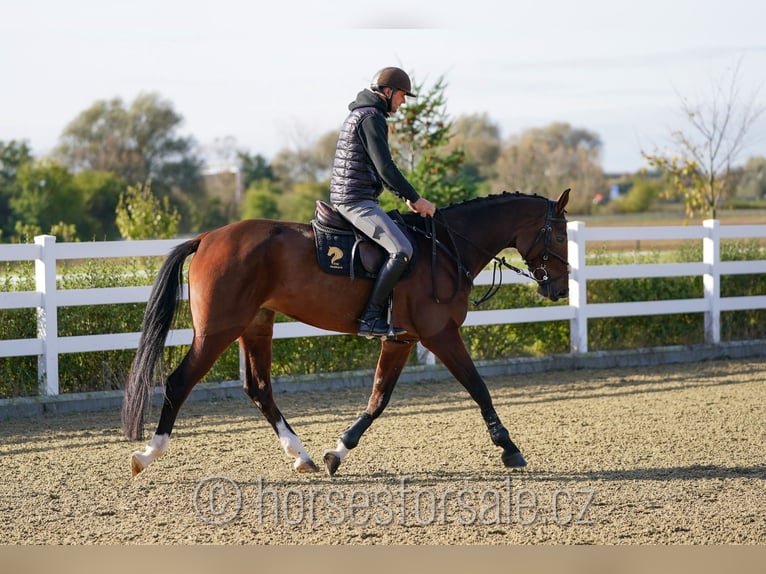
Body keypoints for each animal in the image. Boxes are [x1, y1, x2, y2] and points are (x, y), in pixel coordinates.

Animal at [123, 188, 572, 476]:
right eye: (560, 233)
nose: (560, 289)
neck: (445, 247)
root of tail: (206, 238)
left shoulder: (401, 339)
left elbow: (378, 399)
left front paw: (337, 453)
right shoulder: (440, 335)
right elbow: (478, 388)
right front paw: (510, 449)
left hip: (256, 326)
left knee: (259, 389)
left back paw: (301, 456)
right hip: (218, 330)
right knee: (179, 382)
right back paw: (147, 454)